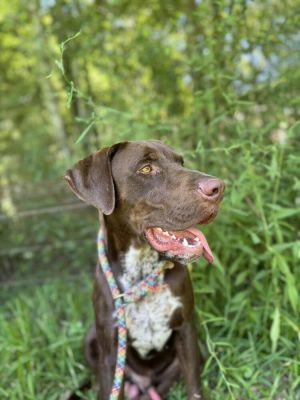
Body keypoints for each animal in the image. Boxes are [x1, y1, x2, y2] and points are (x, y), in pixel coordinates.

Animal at [65, 139, 225, 398]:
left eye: (181, 162)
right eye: (146, 169)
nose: (218, 187)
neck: (141, 267)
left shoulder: (187, 330)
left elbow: (194, 388)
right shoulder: (110, 348)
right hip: (91, 338)